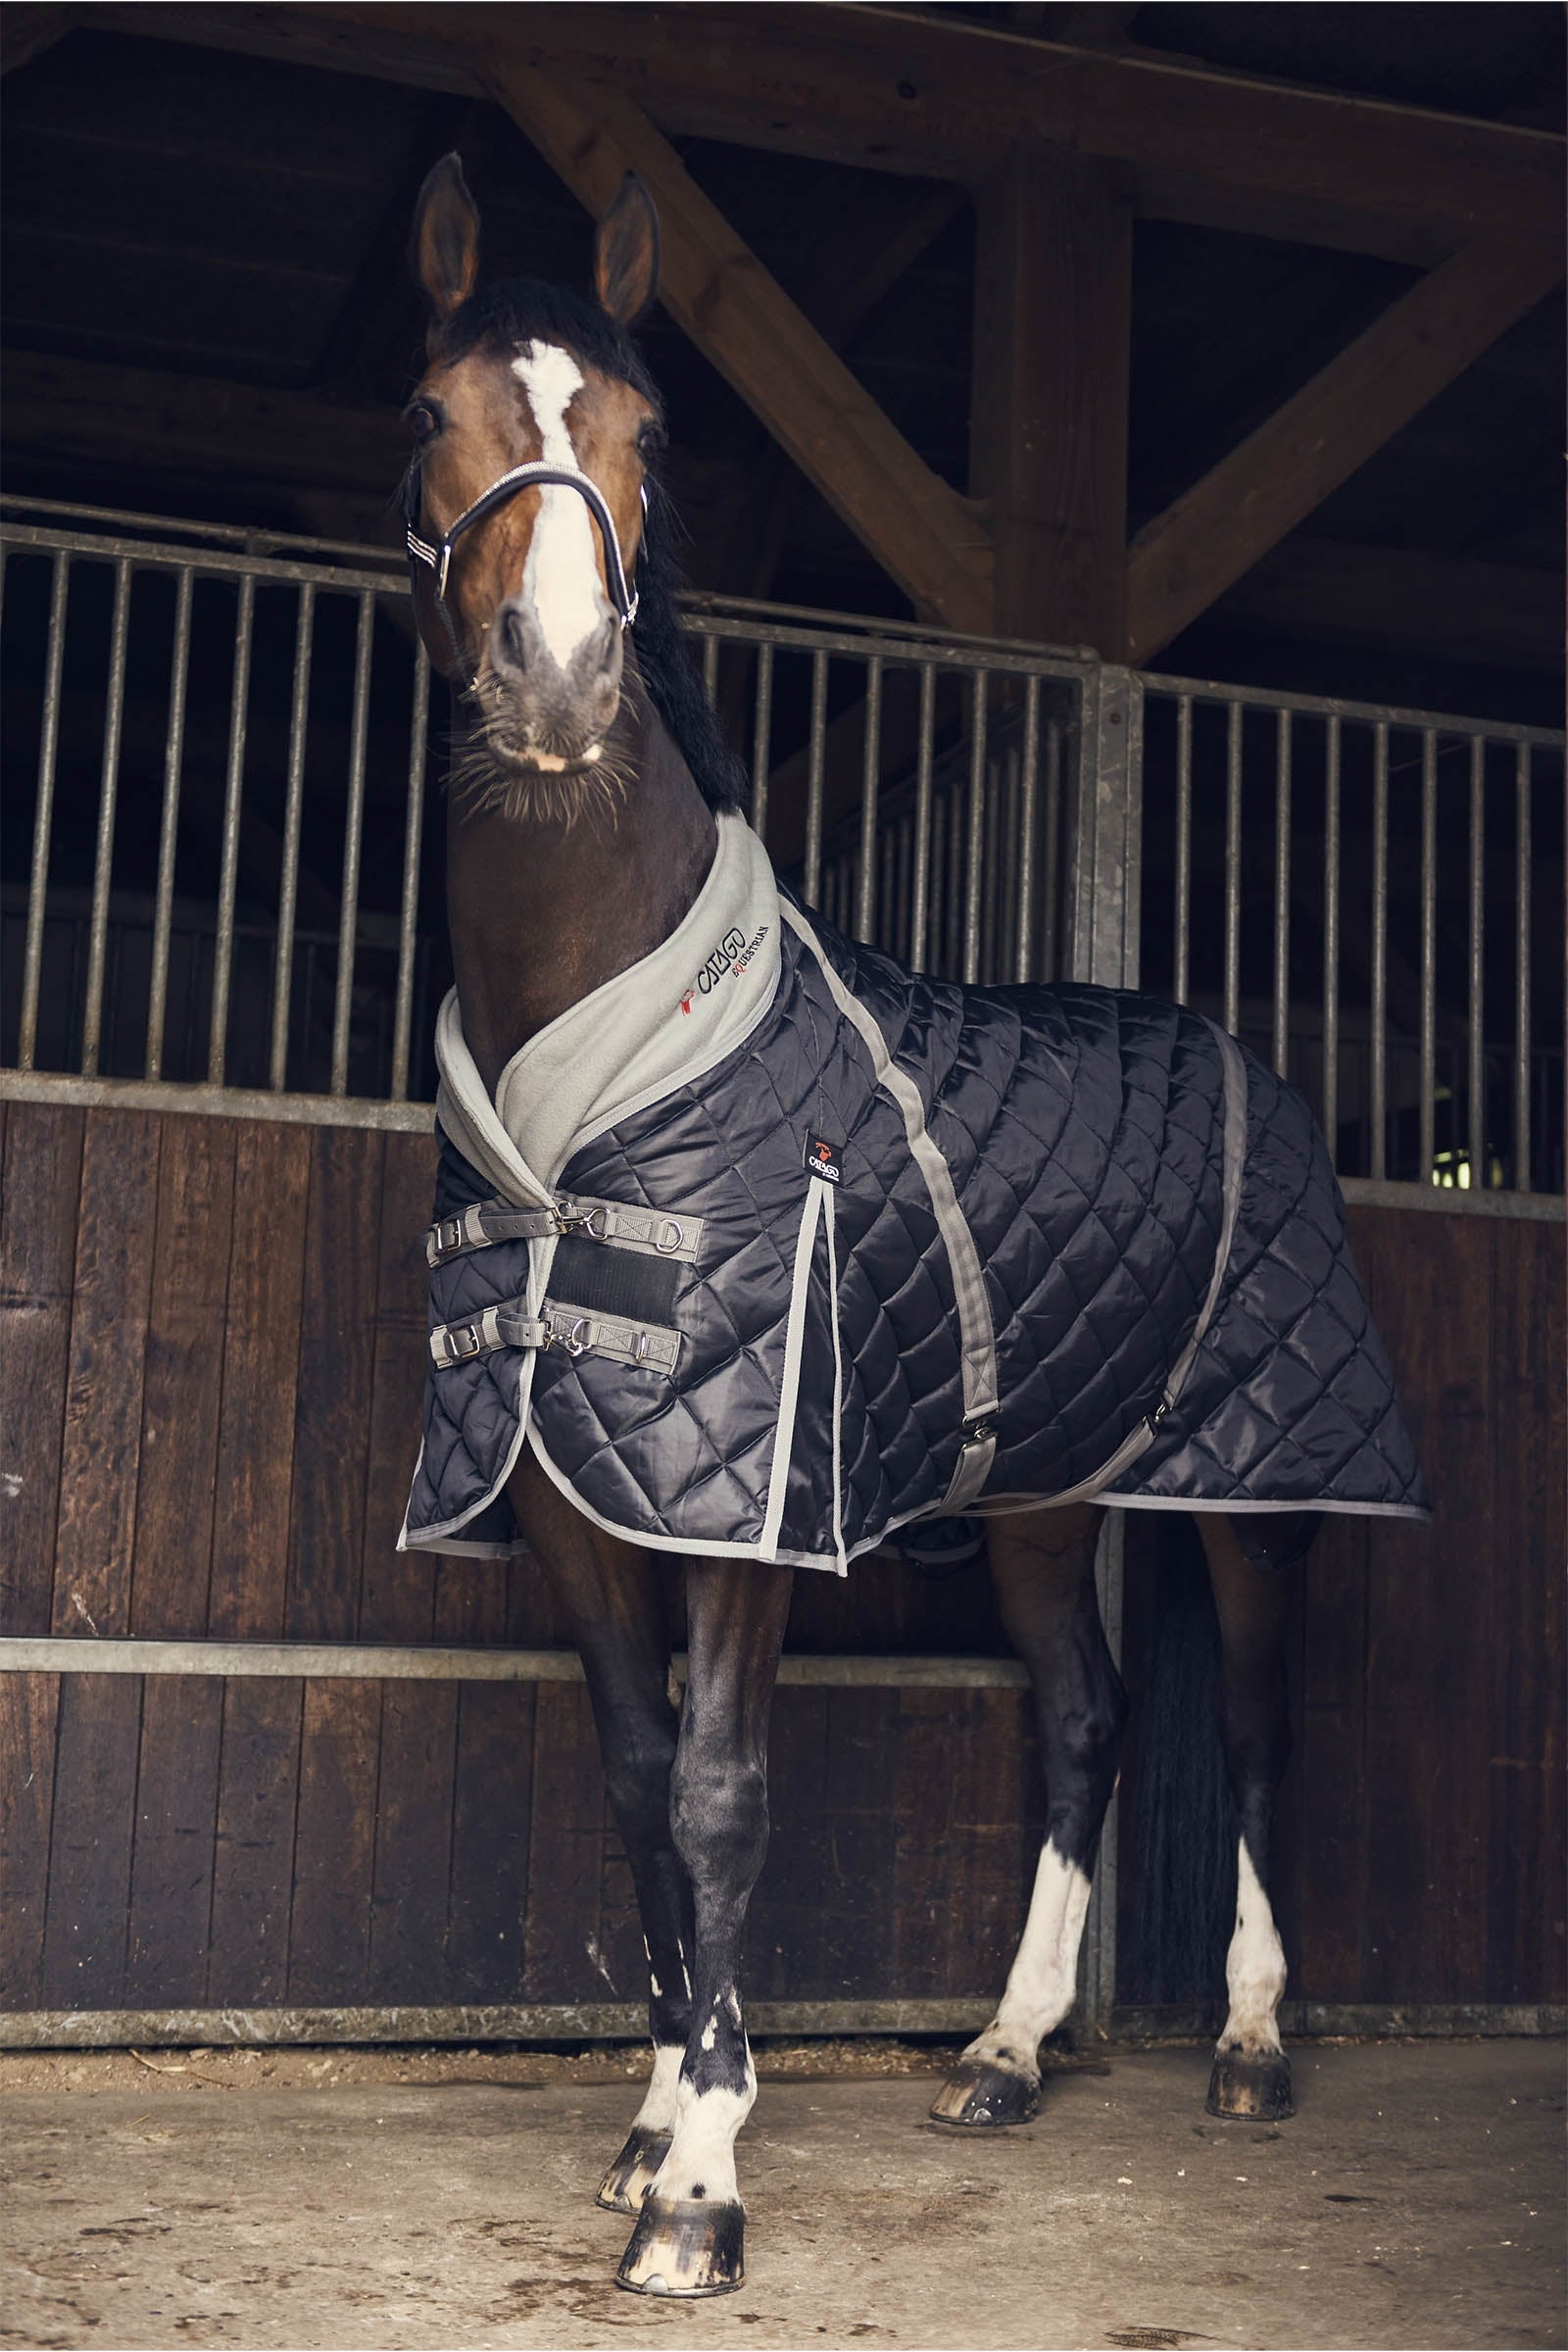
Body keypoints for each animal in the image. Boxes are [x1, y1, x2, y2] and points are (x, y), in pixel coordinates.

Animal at [394, 155, 1428, 2298]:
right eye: (429, 409)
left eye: (648, 433)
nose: (558, 681)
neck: (615, 1046)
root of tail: (1239, 1045)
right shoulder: (578, 1489)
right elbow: (638, 1788)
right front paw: (647, 2127)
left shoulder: (757, 1496)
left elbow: (720, 1792)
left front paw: (703, 2185)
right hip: (1039, 1495)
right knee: (1086, 1720)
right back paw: (1008, 2057)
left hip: (1257, 1487)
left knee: (1258, 1727)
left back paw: (1249, 2047)